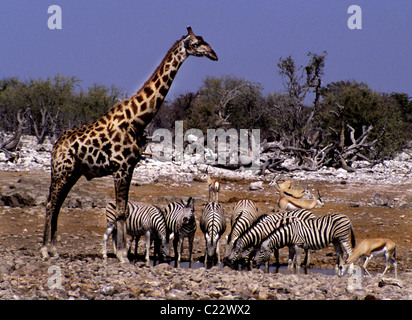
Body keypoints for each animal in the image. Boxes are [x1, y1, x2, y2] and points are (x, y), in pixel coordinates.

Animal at [40, 26, 217, 262]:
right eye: (197, 43)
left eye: (205, 41)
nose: (214, 54)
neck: (137, 119)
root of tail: (55, 146)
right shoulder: (120, 167)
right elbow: (121, 210)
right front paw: (123, 254)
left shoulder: (130, 167)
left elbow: (123, 208)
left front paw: (121, 252)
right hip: (62, 170)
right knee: (51, 203)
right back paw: (45, 249)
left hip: (73, 172)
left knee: (57, 204)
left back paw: (54, 248)